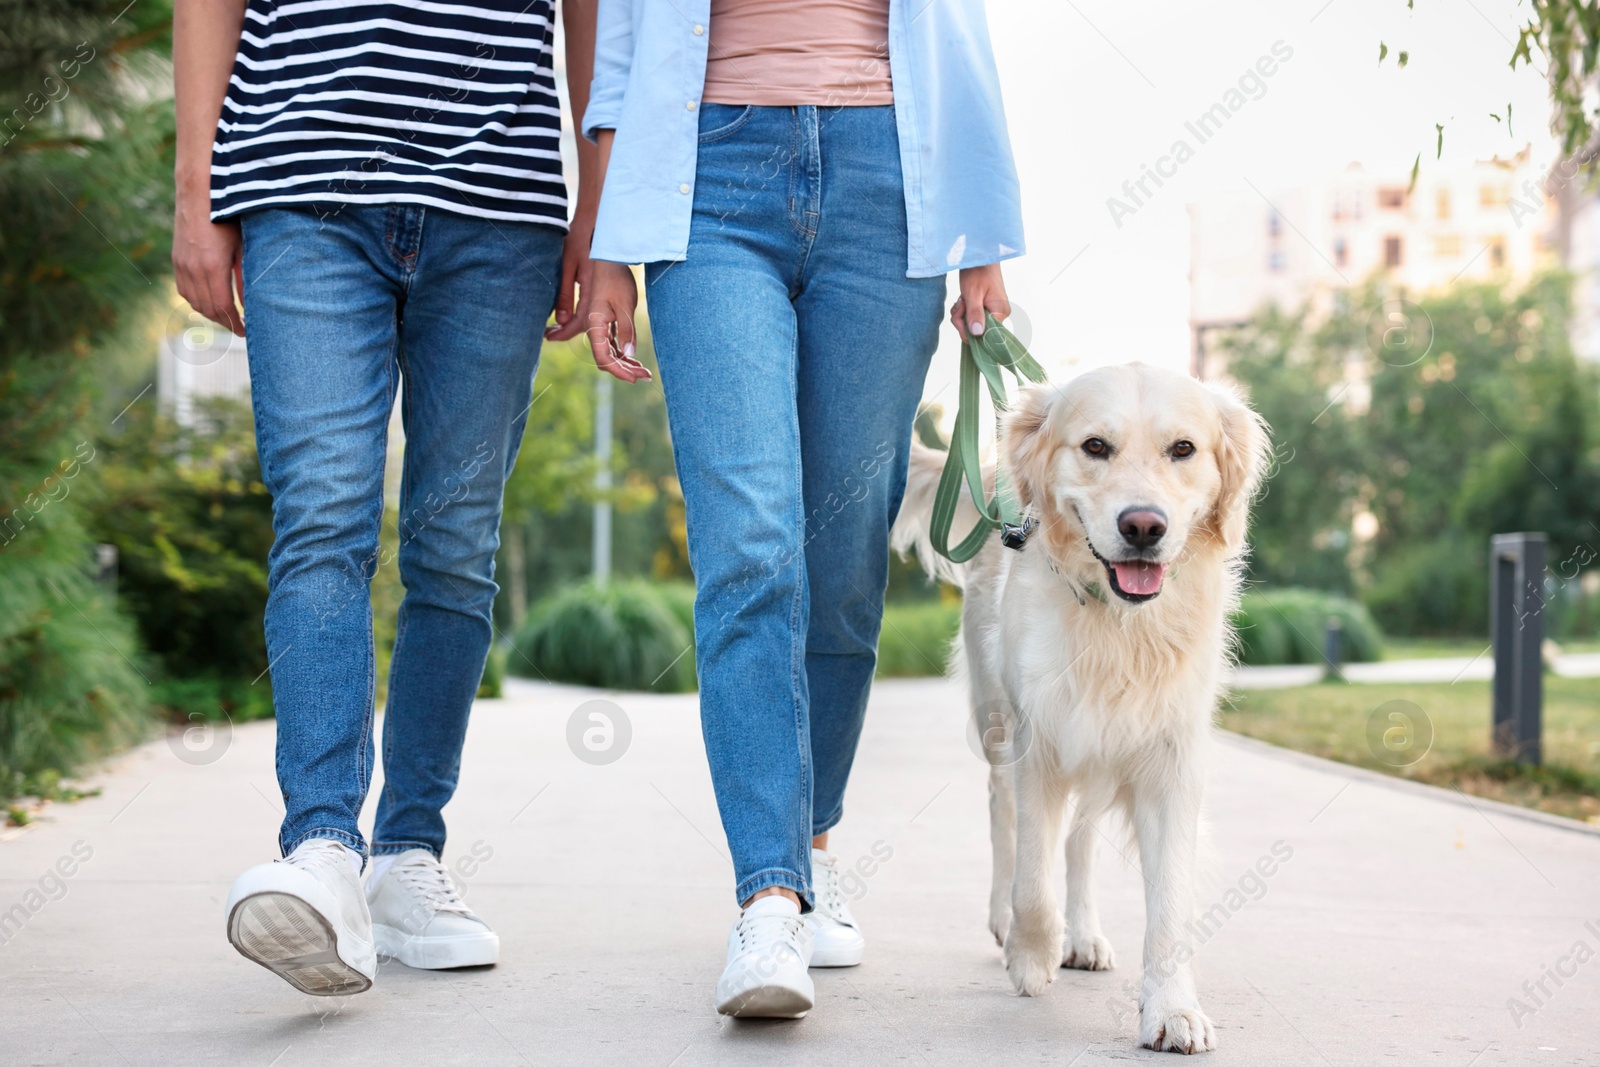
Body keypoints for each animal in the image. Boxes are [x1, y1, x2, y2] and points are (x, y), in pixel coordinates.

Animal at [896, 363, 1267, 1055]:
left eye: (1184, 449)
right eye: (1095, 446)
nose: (1143, 527)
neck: (1119, 625)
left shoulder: (1170, 763)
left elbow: (1168, 904)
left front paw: (1171, 1010)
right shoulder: (1038, 739)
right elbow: (1033, 879)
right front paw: (1030, 955)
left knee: (1081, 839)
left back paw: (1085, 935)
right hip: (995, 718)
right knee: (1004, 815)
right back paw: (1006, 922)